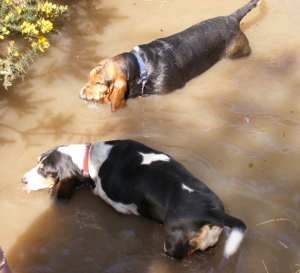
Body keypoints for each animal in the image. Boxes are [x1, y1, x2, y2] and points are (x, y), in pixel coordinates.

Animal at [21, 139, 246, 258]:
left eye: (45, 171)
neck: (90, 158)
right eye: (37, 162)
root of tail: (210, 212)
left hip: (172, 247)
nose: (23, 180)